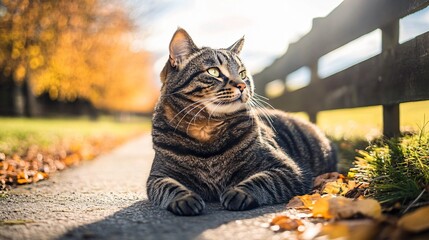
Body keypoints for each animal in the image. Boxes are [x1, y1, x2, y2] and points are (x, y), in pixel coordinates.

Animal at [147, 27, 338, 216]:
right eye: (213, 71)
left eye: (242, 73)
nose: (242, 85)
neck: (206, 129)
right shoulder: (158, 175)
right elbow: (168, 187)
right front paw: (185, 198)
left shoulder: (289, 169)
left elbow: (262, 180)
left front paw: (238, 192)